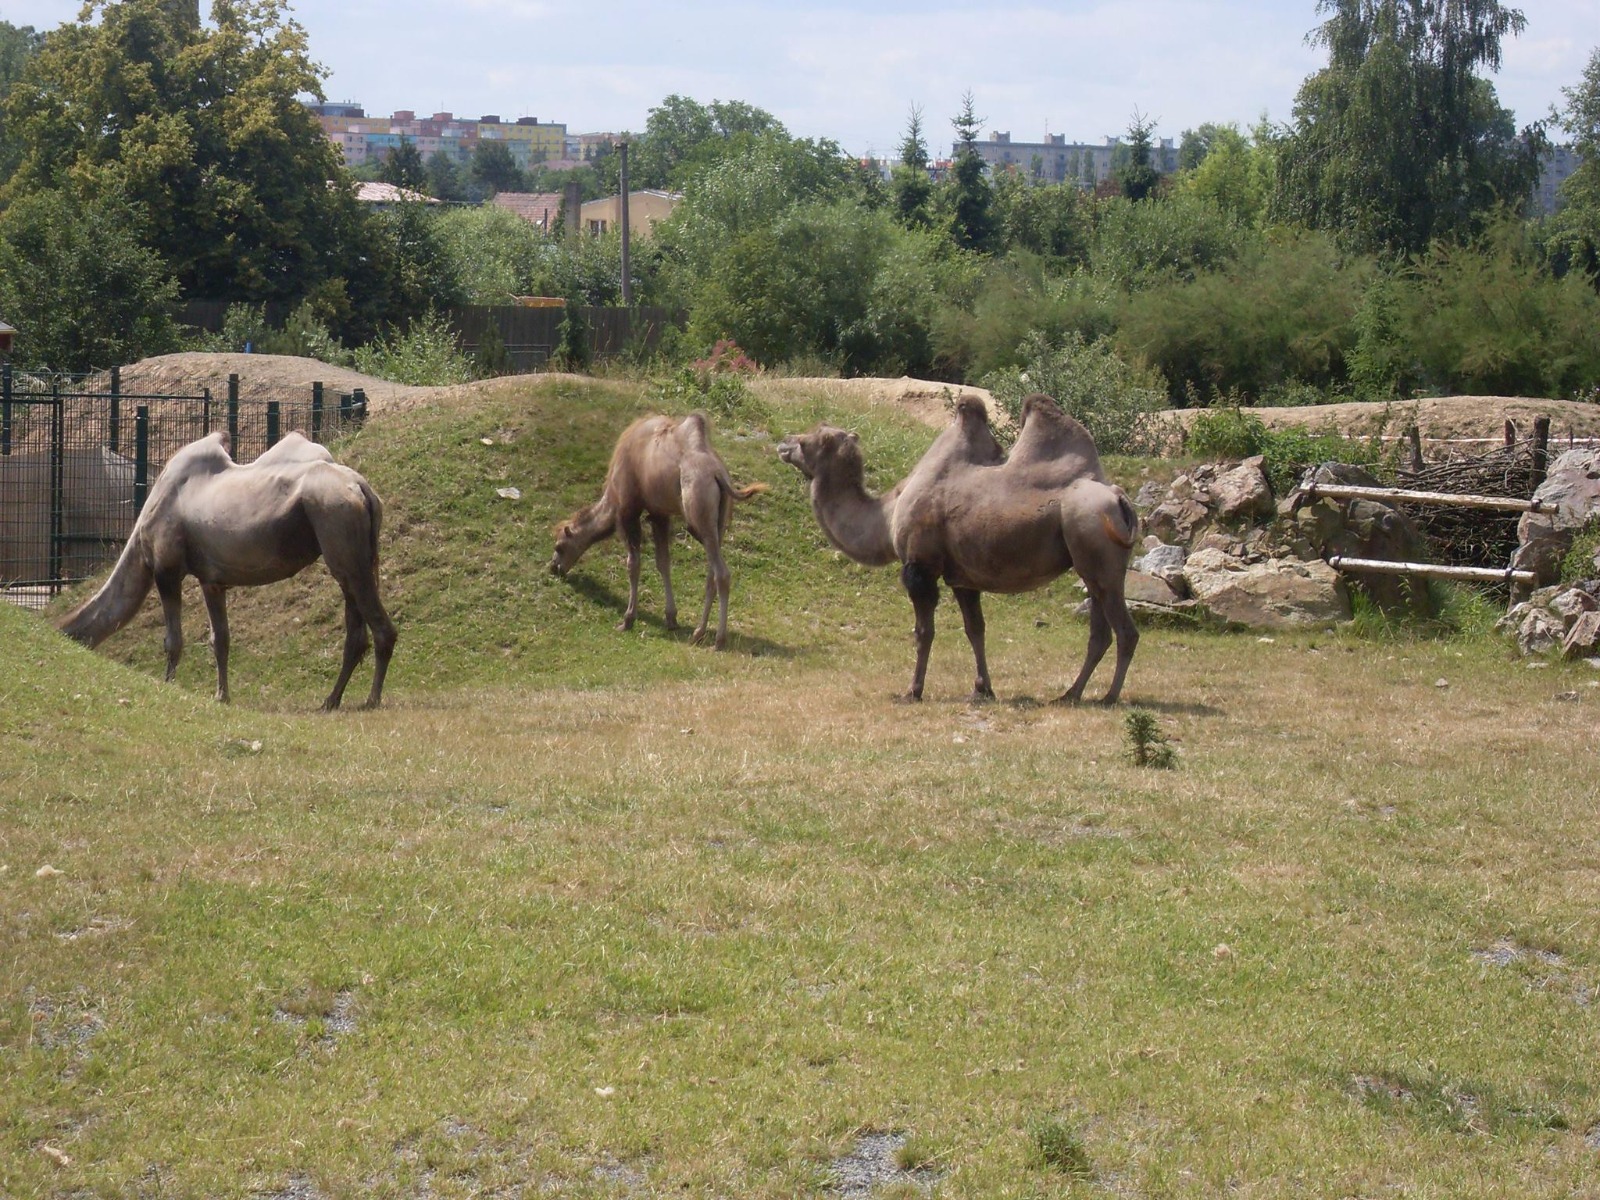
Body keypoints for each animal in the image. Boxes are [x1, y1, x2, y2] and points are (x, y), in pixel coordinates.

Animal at [62, 432, 400, 713]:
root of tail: (363, 490)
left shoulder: (166, 569)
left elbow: (173, 640)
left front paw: (168, 686)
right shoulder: (212, 580)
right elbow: (220, 639)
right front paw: (221, 696)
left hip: (341, 536)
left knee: (382, 628)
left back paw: (371, 699)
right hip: (353, 557)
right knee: (356, 634)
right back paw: (331, 700)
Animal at [550, 416, 768, 659]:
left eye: (559, 546)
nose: (554, 567)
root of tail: (719, 475)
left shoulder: (628, 510)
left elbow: (633, 564)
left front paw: (628, 620)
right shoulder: (659, 513)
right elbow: (663, 562)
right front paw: (671, 618)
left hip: (699, 515)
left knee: (722, 573)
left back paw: (719, 640)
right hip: (718, 523)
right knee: (712, 573)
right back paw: (698, 633)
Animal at [777, 395, 1139, 710]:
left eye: (815, 439)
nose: (783, 443)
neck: (887, 515)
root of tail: (1118, 497)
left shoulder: (920, 567)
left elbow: (924, 632)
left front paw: (912, 691)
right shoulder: (963, 578)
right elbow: (975, 629)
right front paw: (982, 689)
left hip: (1095, 545)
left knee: (1125, 631)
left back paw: (1108, 697)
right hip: (1091, 564)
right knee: (1099, 632)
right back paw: (1070, 694)